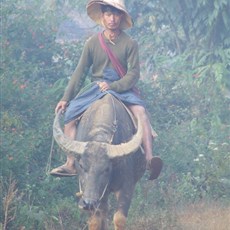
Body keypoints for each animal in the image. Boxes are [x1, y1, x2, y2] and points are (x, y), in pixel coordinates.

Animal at [52, 93, 146, 230]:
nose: (88, 203)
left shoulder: (127, 186)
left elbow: (119, 219)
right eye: (81, 166)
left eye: (106, 169)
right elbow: (96, 221)